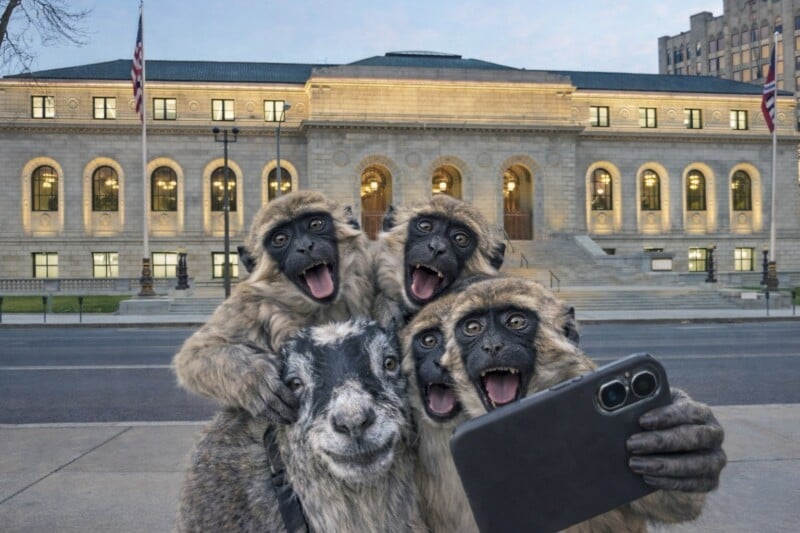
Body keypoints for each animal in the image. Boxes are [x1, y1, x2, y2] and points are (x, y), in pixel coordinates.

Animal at [172, 190, 374, 421]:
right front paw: (254, 378)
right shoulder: (250, 303)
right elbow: (196, 351)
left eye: (315, 224)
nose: (305, 247)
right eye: (280, 239)